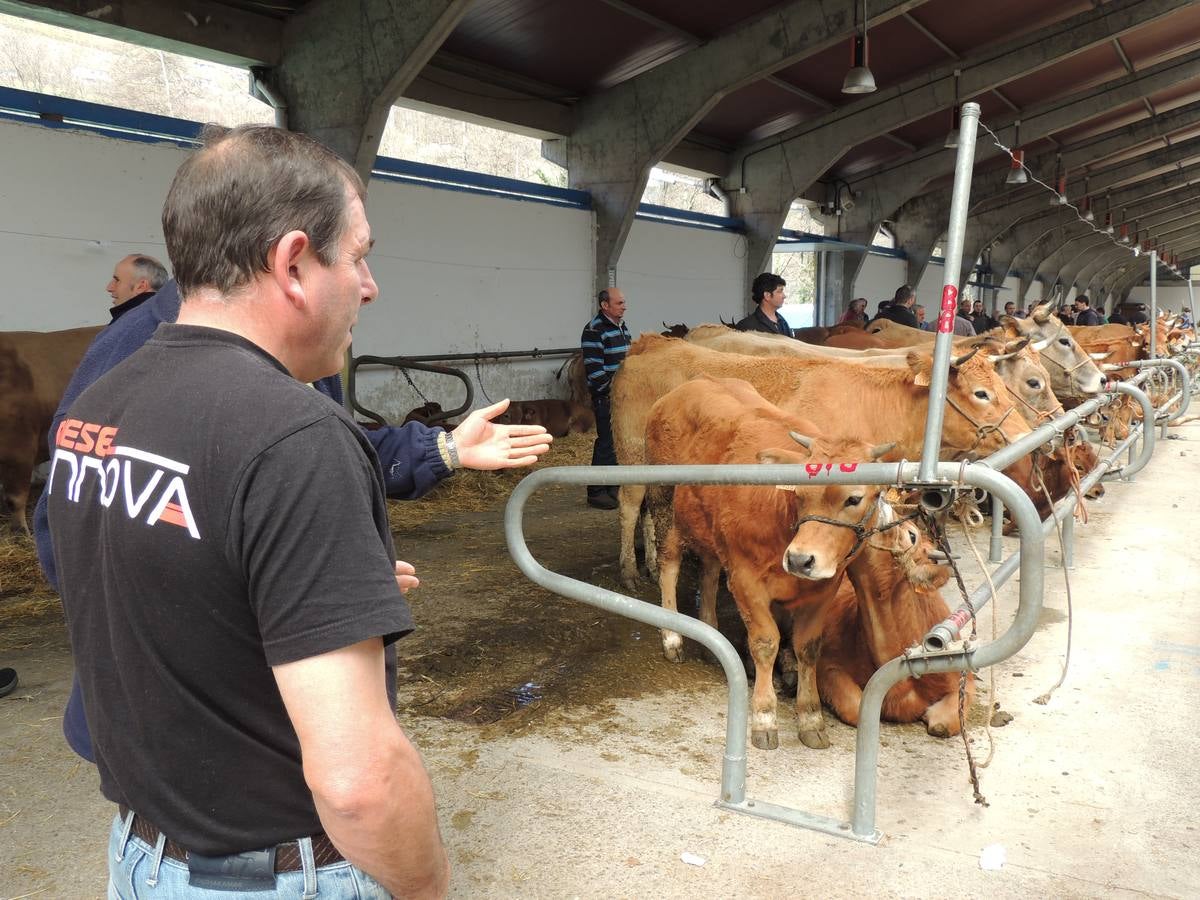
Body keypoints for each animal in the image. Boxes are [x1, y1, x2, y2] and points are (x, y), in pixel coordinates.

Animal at [648, 376, 892, 748]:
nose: (801, 559)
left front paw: (810, 716)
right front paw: (764, 717)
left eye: (855, 498)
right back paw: (672, 636)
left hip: (708, 529)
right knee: (669, 563)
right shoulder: (746, 580)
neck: (783, 523)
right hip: (666, 505)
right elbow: (766, 642)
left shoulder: (824, 589)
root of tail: (691, 384)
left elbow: (808, 647)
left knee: (709, 569)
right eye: (799, 493)